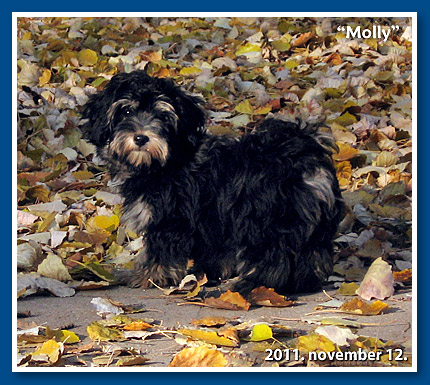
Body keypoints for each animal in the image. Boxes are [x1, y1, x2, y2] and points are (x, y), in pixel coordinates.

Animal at [82, 70, 344, 294]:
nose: (140, 137)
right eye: (126, 112)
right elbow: (216, 252)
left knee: (272, 256)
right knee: (311, 254)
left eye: (162, 116)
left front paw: (147, 277)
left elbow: (160, 252)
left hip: (264, 217)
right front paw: (208, 273)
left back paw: (250, 285)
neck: (167, 161)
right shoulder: (211, 220)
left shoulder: (170, 218)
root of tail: (305, 154)